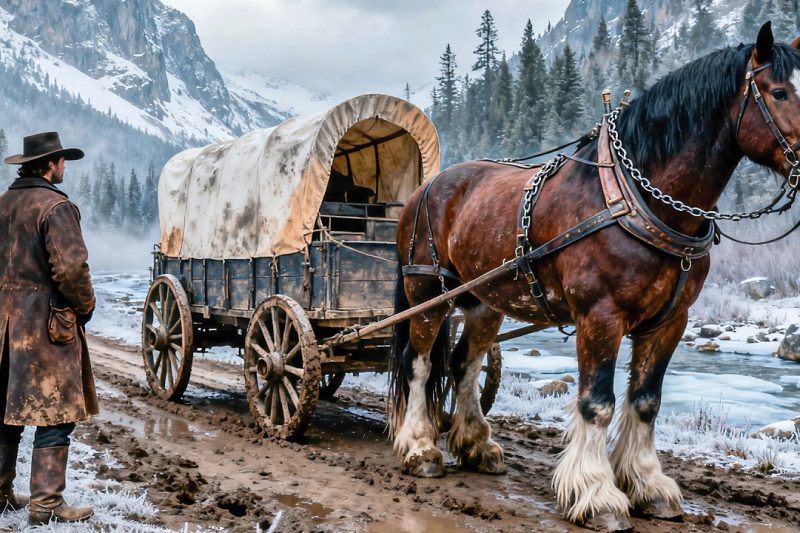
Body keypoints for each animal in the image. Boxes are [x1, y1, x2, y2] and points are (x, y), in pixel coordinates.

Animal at [388, 23, 800, 530]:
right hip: (426, 291)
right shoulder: (599, 316)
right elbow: (596, 403)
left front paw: (648, 485)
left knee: (464, 363)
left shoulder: (670, 322)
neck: (640, 201)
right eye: (779, 91)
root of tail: (426, 188)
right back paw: (420, 447)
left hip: (485, 299)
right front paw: (597, 493)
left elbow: (646, 401)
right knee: (420, 363)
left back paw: (476, 445)